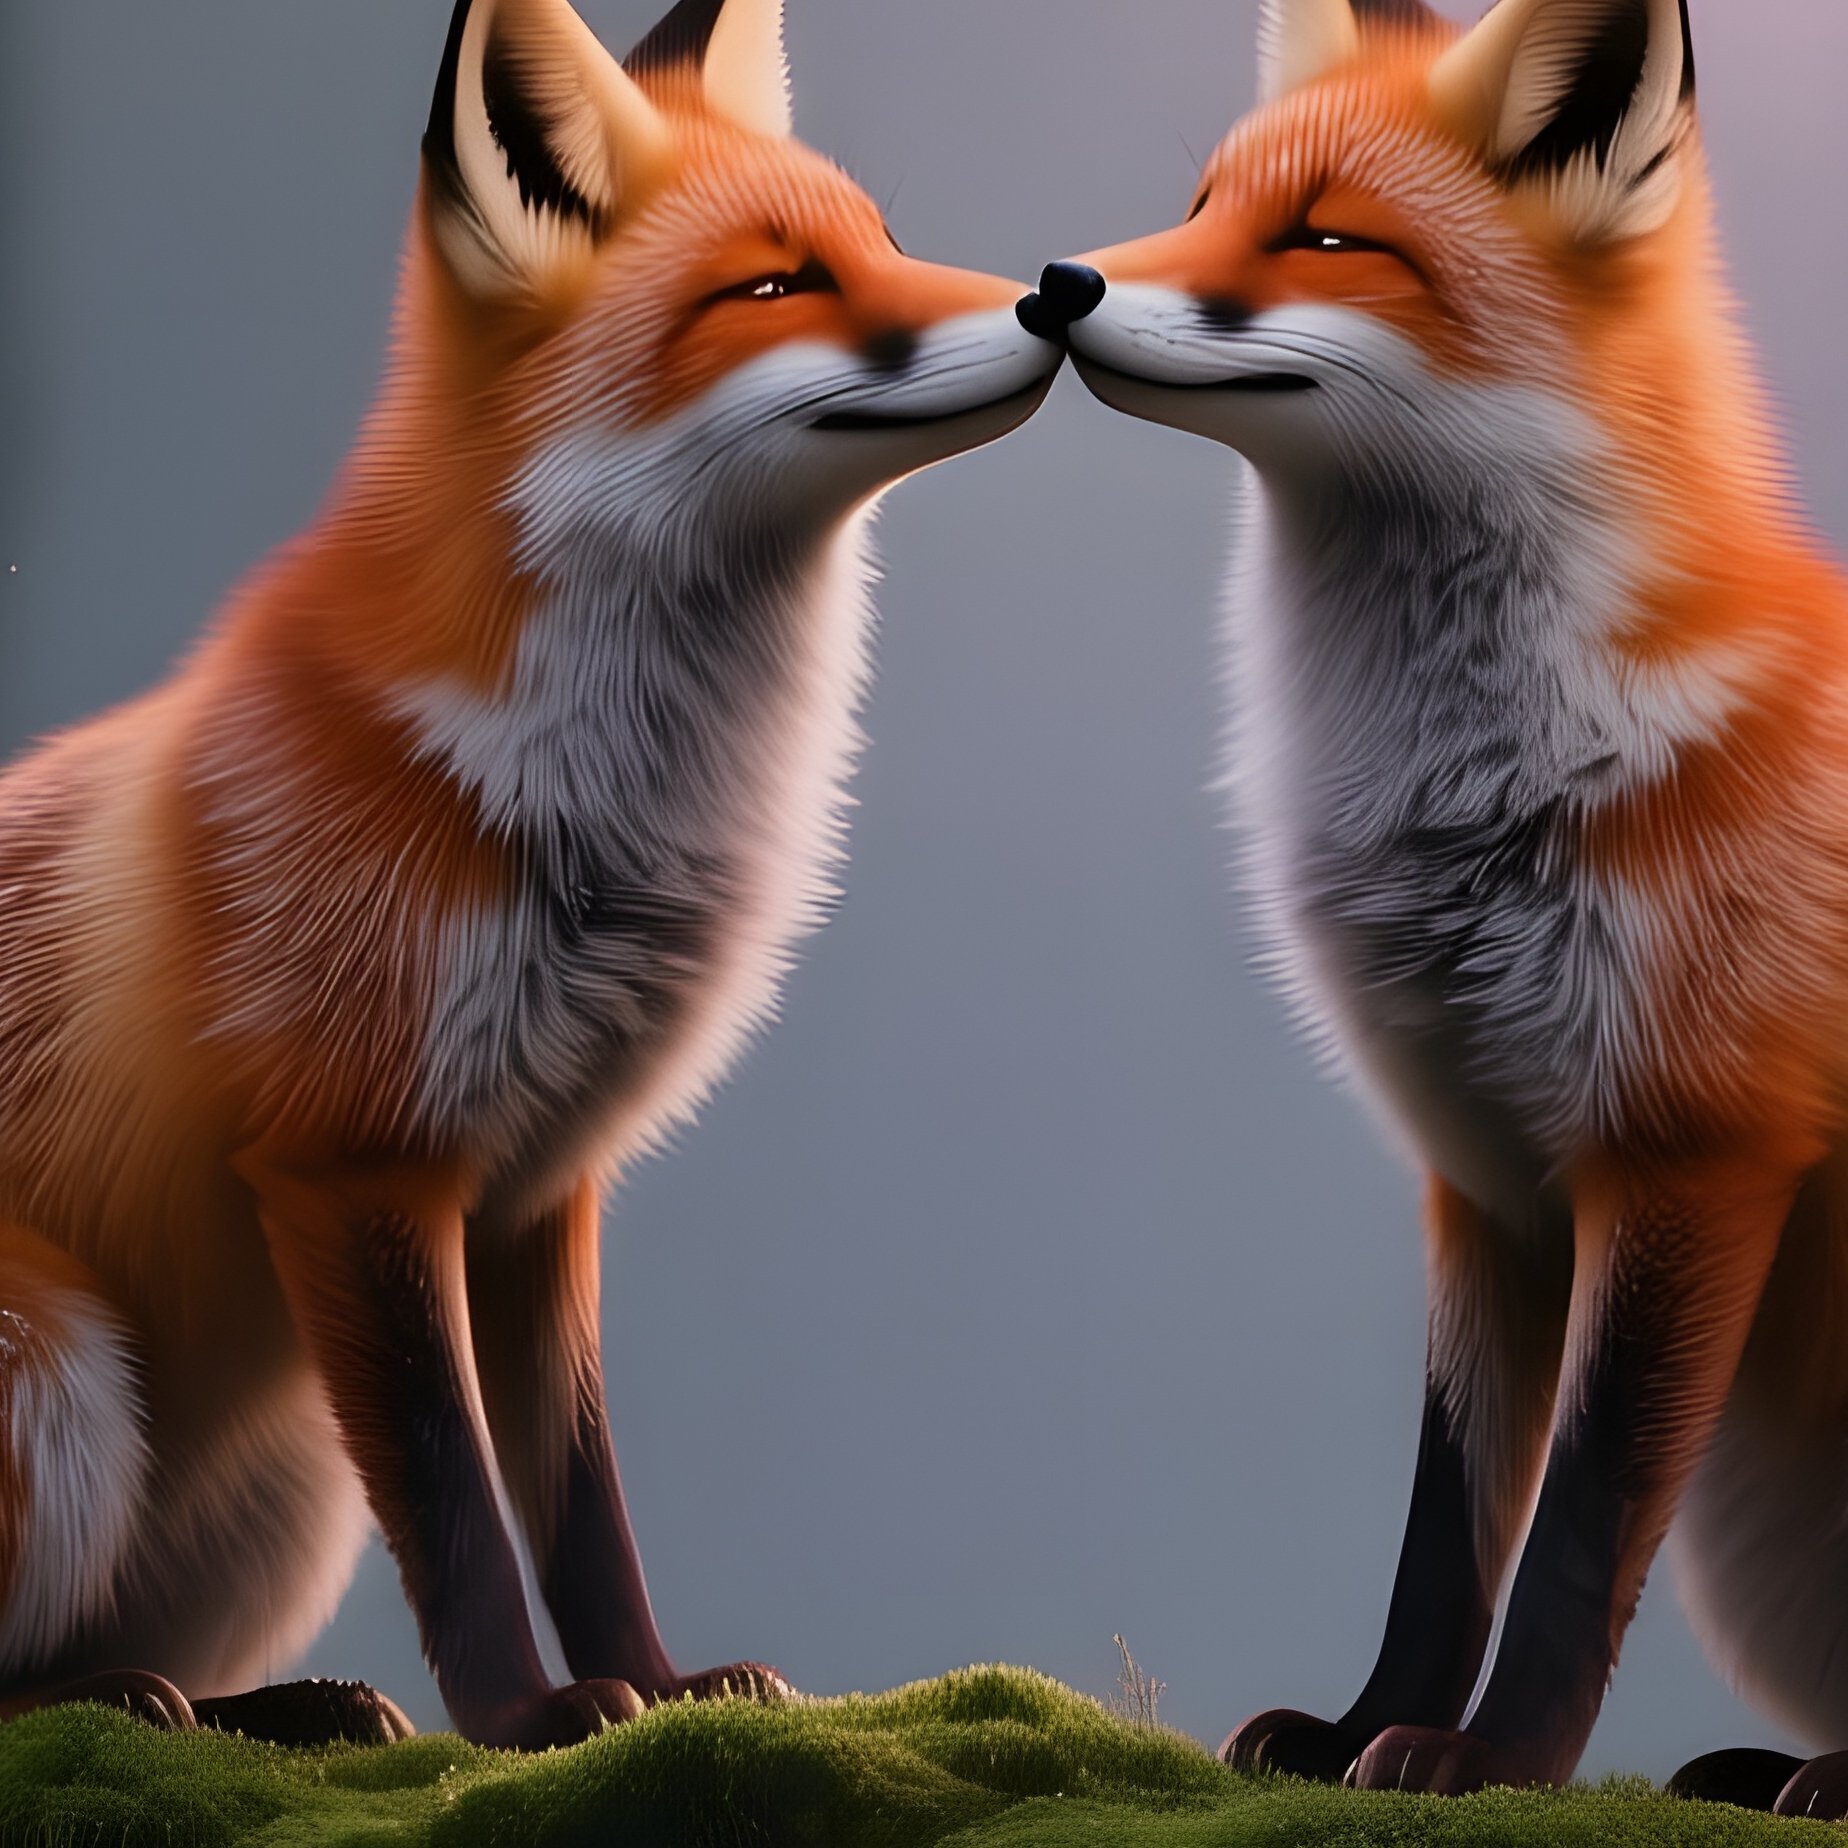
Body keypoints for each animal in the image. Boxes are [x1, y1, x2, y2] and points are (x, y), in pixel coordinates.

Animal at [0, 0, 1060, 1751]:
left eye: (887, 241)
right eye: (775, 286)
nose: (1058, 290)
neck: (591, 809)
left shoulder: (541, 1187)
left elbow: (578, 1504)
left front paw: (668, 1691)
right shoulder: (350, 1163)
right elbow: (456, 1507)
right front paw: (529, 1715)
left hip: (278, 1480)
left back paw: (266, 1706)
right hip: (74, 1371)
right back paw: (137, 1705)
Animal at [1017, 0, 1848, 1816]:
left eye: (1328, 239)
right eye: (1199, 201)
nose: (1053, 281)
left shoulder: (1688, 1154)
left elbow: (1575, 1529)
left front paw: (1495, 1758)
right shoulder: (1483, 1178)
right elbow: (1445, 1535)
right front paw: (1356, 1735)